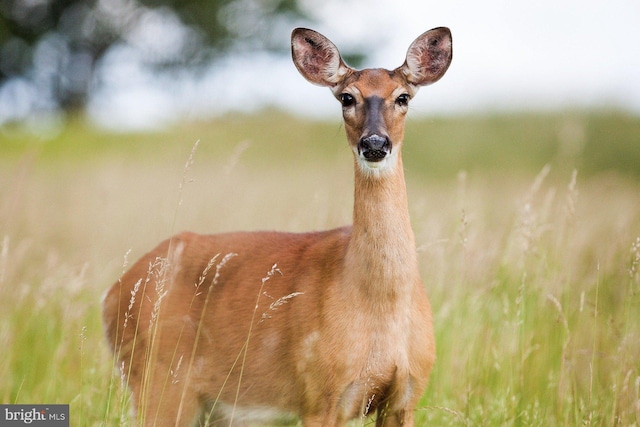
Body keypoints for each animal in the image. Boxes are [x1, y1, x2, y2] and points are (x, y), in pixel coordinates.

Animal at [102, 27, 452, 427]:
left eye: (403, 97)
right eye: (347, 97)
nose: (375, 143)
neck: (381, 304)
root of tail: (112, 294)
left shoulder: (406, 395)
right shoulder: (319, 394)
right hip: (159, 381)